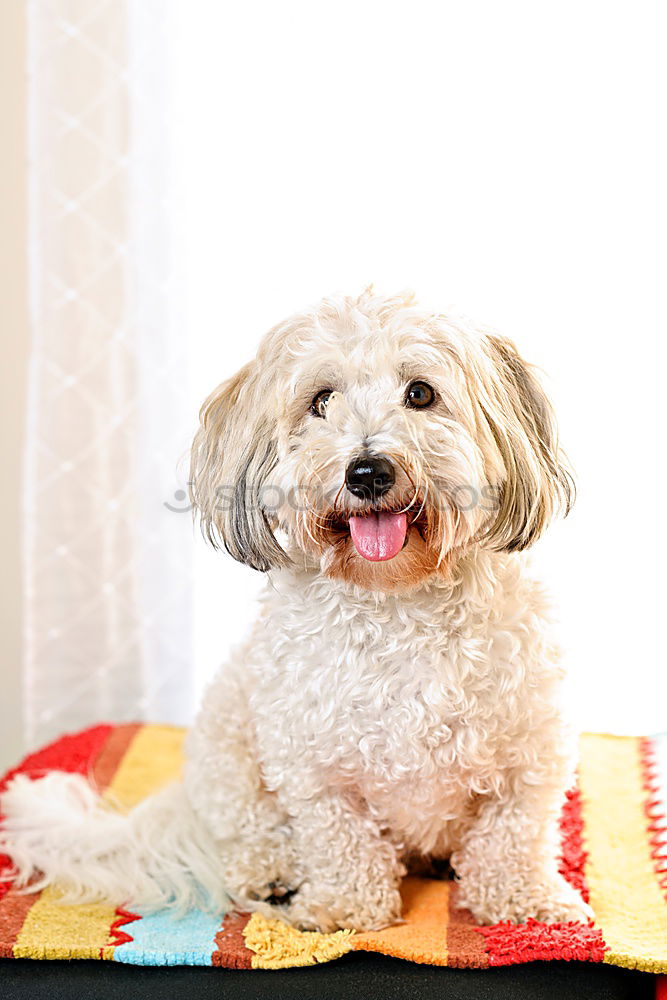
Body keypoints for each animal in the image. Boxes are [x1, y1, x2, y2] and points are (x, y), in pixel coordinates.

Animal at [0, 292, 596, 932]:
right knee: (248, 831)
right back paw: (273, 874)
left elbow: (513, 835)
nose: (368, 471)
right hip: (228, 749)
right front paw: (344, 908)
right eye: (322, 401)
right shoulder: (313, 765)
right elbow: (341, 840)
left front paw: (524, 900)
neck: (399, 604)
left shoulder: (530, 755)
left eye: (420, 393)